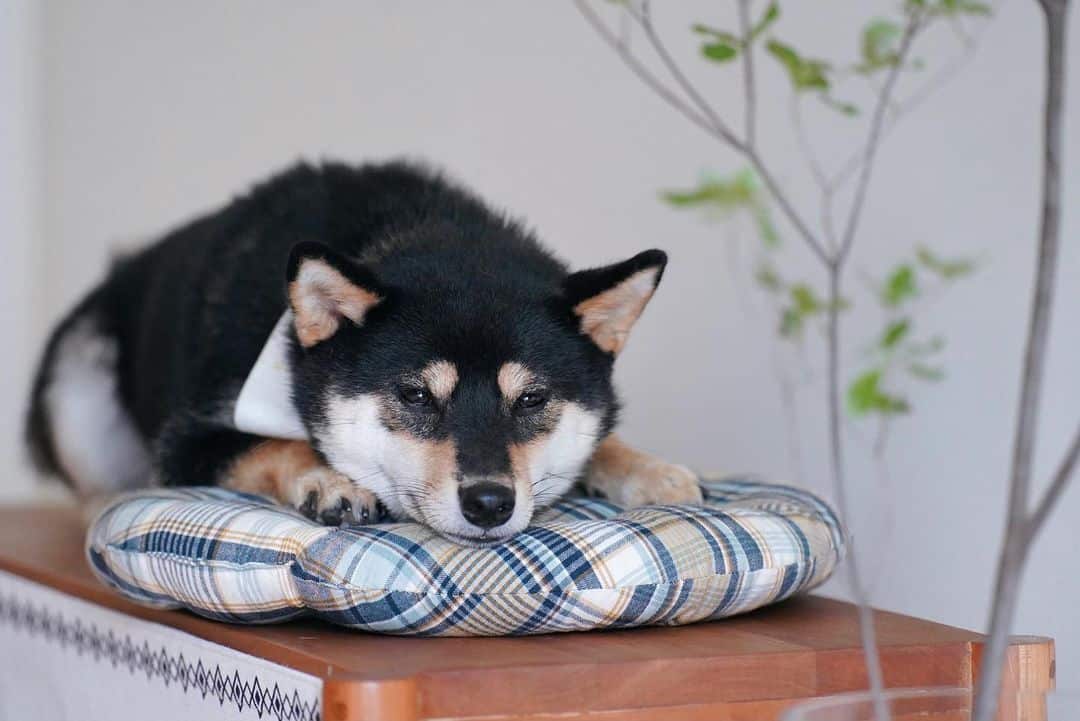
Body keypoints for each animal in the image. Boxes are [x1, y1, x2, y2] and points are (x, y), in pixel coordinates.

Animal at [27, 161, 699, 546]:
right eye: (416, 395)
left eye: (532, 399)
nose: (489, 503)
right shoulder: (191, 437)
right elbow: (276, 444)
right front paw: (328, 478)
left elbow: (601, 440)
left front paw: (648, 469)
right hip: (76, 379)